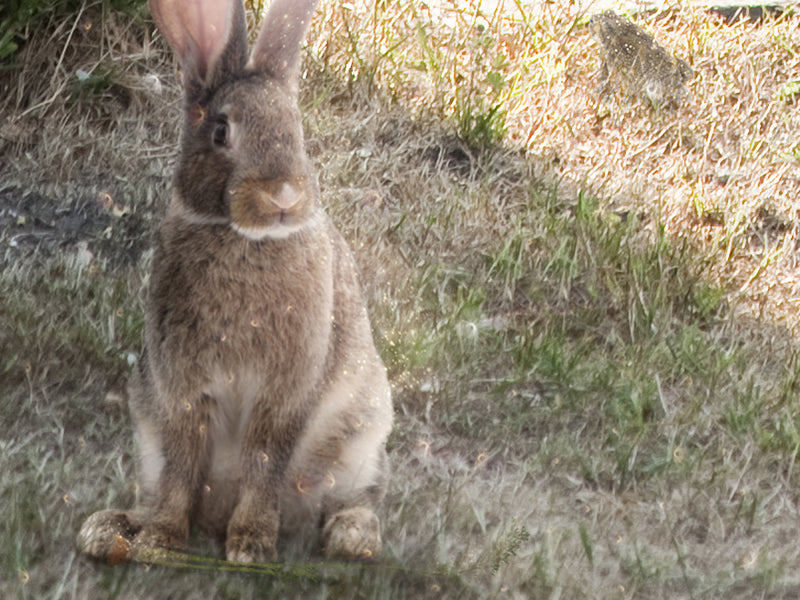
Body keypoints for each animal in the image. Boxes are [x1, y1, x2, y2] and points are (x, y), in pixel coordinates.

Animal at [76, 0, 396, 564]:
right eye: (222, 131)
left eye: (296, 130)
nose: (284, 196)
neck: (246, 239)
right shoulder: (181, 386)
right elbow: (183, 464)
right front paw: (162, 540)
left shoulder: (286, 392)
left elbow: (264, 462)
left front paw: (249, 546)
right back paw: (111, 530)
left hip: (360, 437)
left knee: (354, 497)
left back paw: (352, 538)